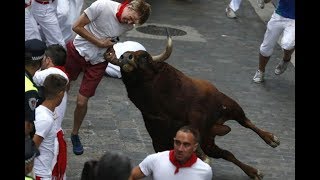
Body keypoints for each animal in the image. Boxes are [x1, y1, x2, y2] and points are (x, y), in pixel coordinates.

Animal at [104, 33, 278, 179]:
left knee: (246, 122)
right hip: (210, 142)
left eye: (145, 56)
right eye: (121, 58)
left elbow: (195, 135)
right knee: (226, 153)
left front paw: (203, 161)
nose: (125, 57)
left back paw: (271, 139)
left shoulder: (195, 117)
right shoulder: (158, 141)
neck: (160, 108)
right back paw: (253, 171)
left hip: (230, 106)